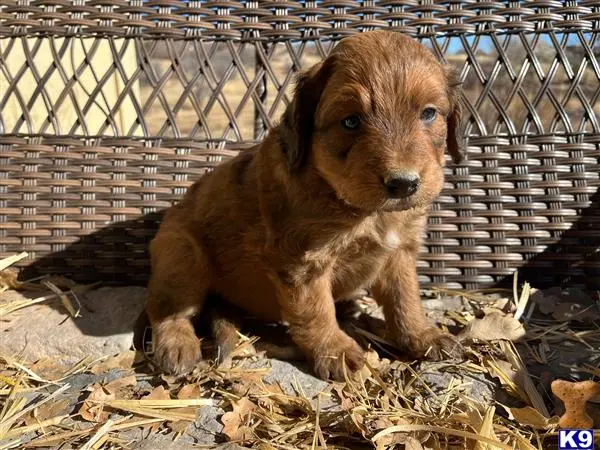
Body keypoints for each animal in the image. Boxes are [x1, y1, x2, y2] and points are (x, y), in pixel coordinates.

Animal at [148, 30, 466, 380]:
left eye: (429, 113)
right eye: (351, 122)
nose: (404, 183)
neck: (363, 211)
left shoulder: (400, 251)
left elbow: (405, 298)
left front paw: (422, 335)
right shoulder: (303, 261)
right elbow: (316, 310)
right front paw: (336, 351)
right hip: (183, 255)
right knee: (166, 308)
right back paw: (177, 346)